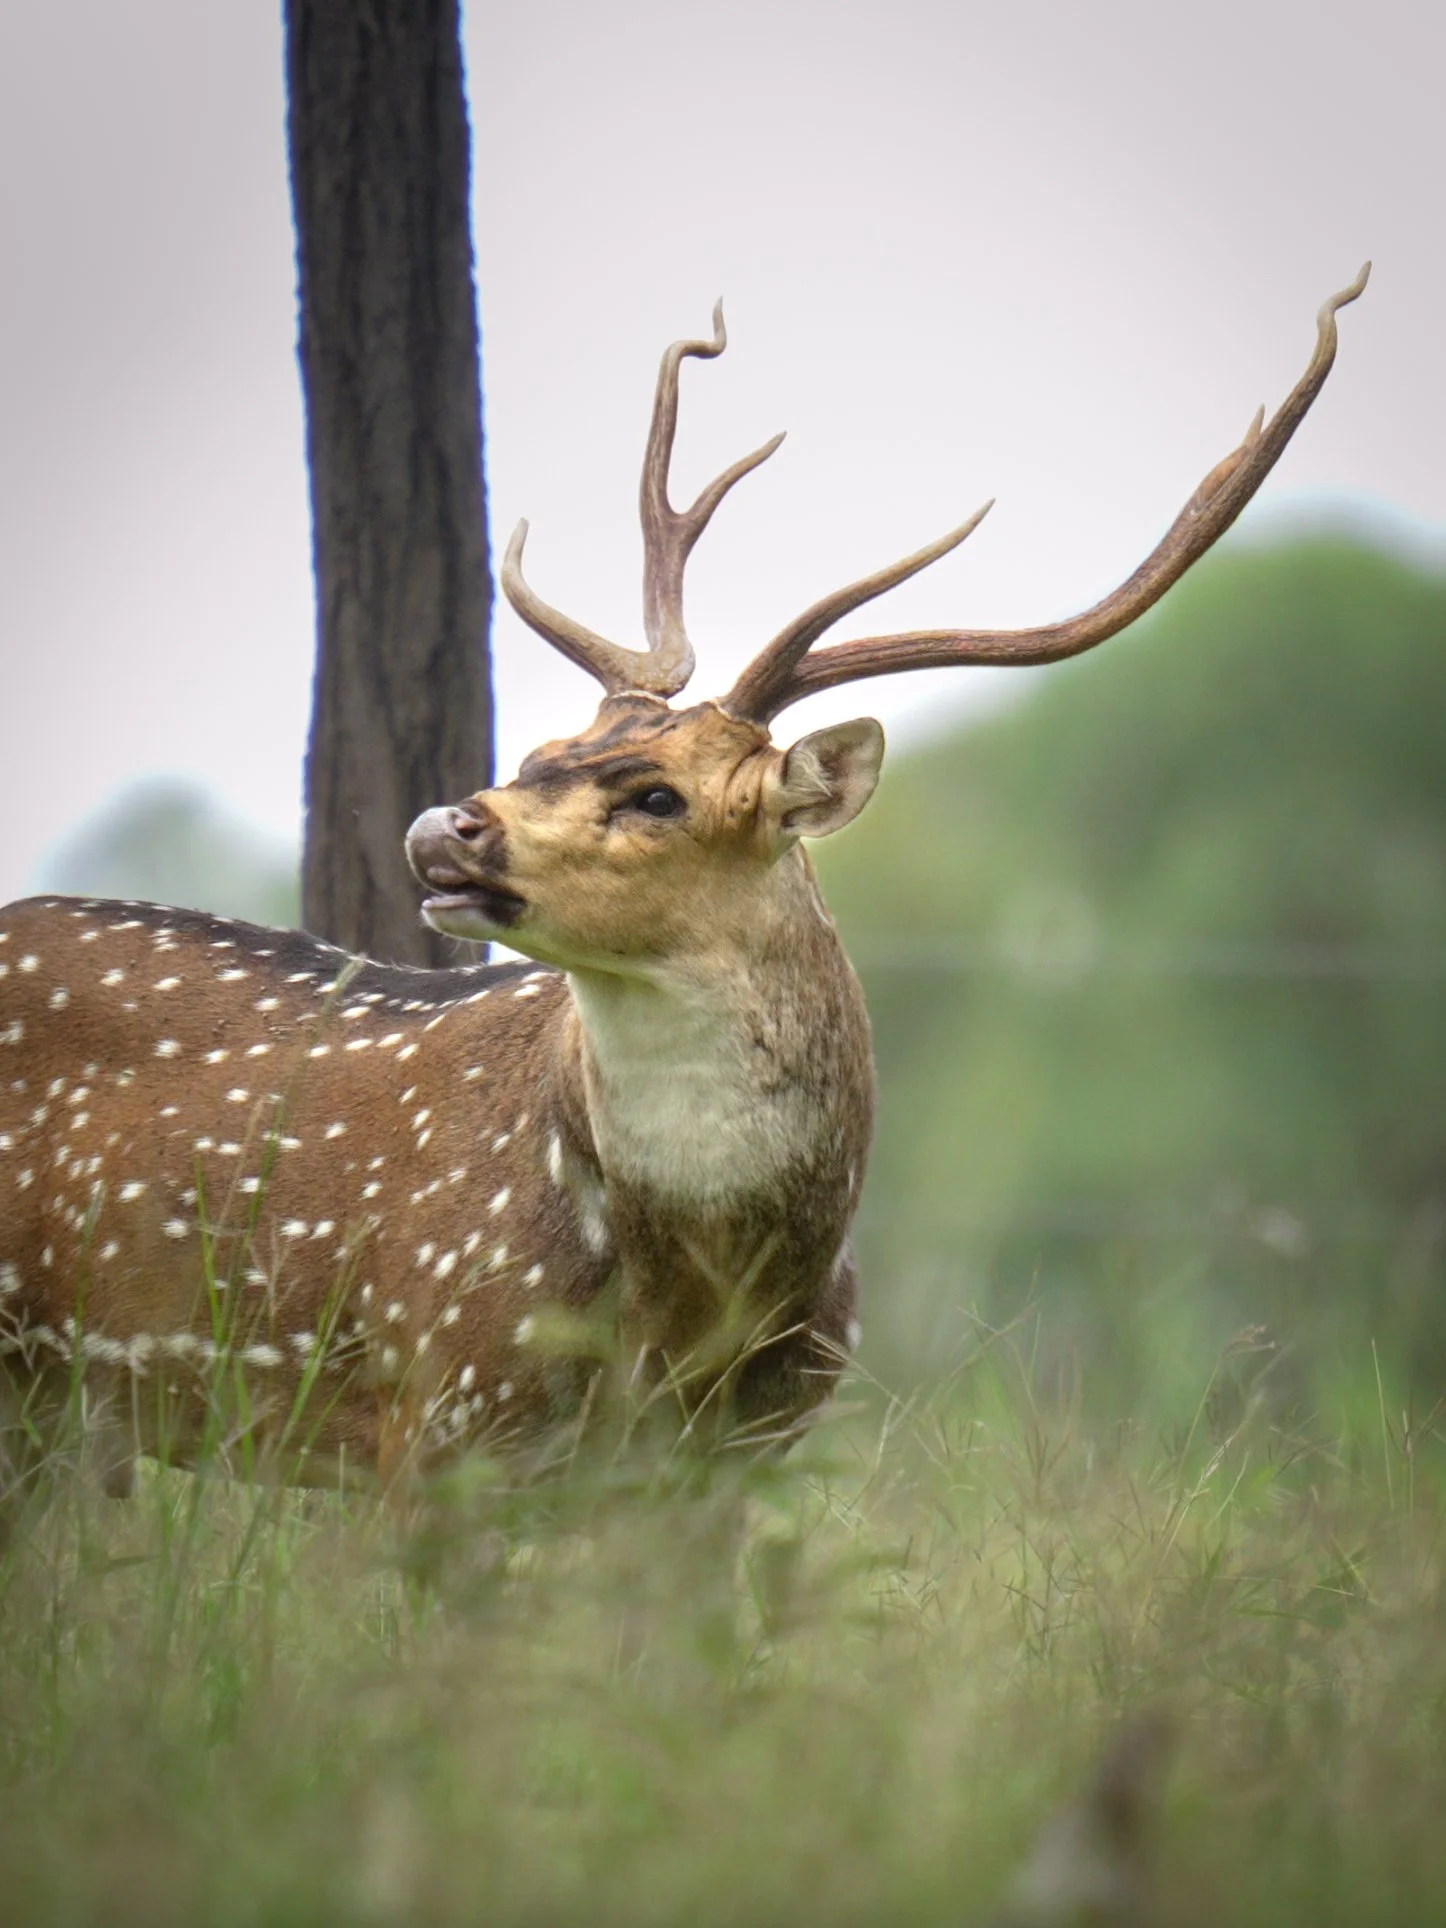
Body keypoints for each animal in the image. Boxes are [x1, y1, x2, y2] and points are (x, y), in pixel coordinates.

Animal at [0, 267, 1368, 1532]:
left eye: (655, 792)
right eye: (543, 747)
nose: (444, 824)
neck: (695, 1305)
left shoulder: (724, 1467)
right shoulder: (433, 1409)